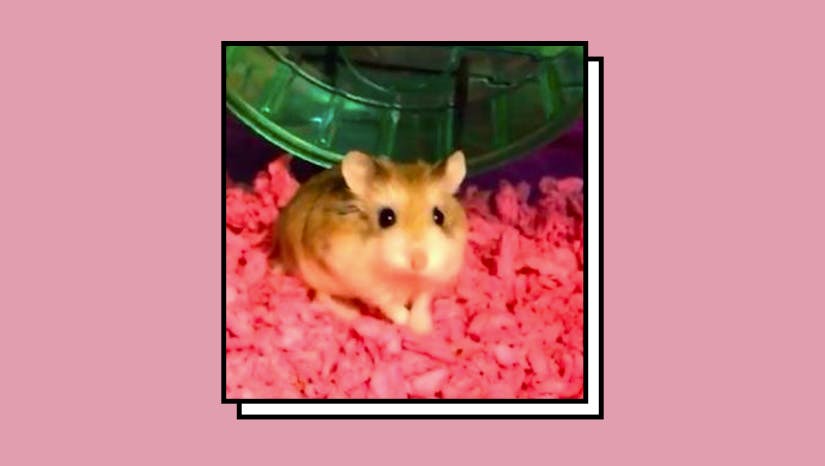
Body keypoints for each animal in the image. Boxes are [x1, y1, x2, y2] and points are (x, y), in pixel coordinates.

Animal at [276, 150, 468, 334]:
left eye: (439, 216)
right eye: (386, 218)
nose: (419, 262)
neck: (406, 275)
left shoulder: (432, 279)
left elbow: (422, 301)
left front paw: (423, 329)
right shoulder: (371, 286)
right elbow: (391, 305)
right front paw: (407, 322)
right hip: (316, 275)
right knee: (320, 296)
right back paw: (350, 312)